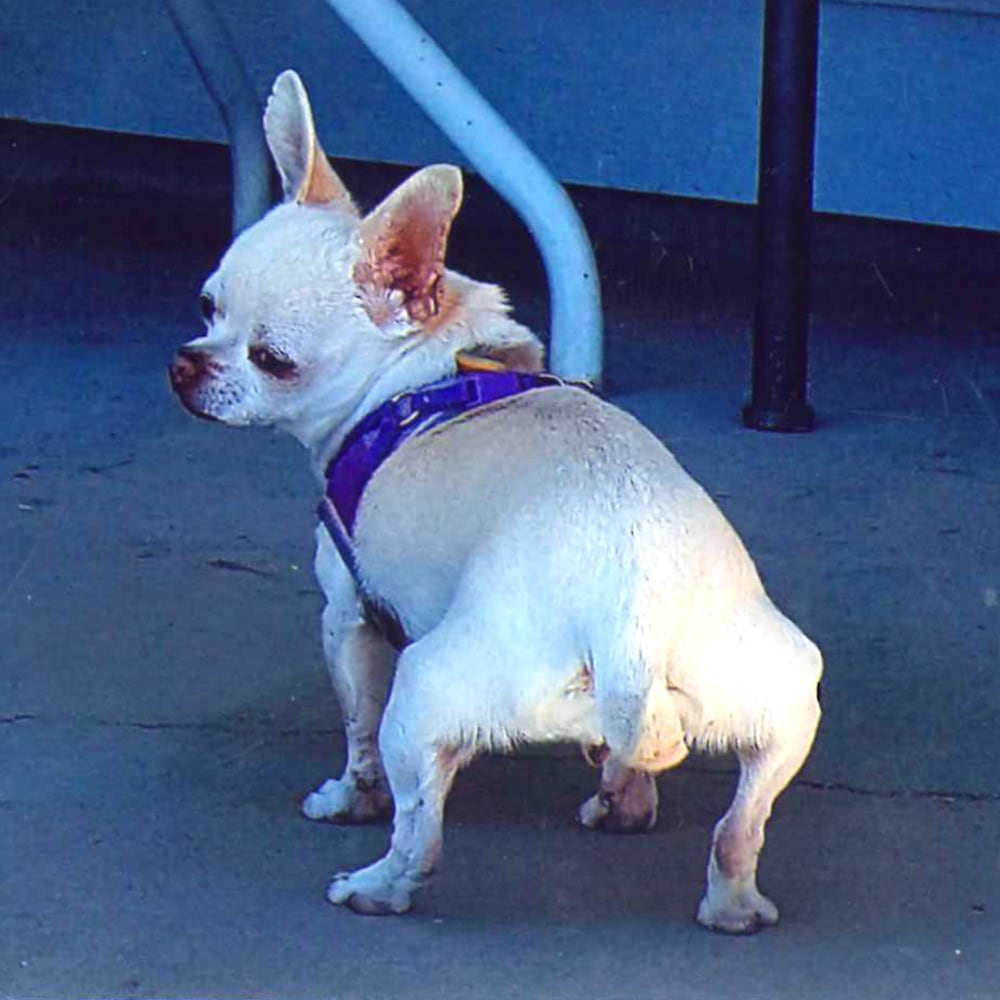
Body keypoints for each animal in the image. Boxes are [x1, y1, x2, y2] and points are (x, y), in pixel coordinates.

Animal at [170, 72, 820, 936]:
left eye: (272, 360)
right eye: (206, 308)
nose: (184, 364)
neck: (425, 369)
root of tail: (631, 617)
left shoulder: (346, 615)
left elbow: (355, 731)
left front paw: (347, 799)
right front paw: (625, 792)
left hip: (426, 687)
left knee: (419, 831)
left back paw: (377, 885)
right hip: (781, 695)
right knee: (738, 823)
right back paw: (724, 893)